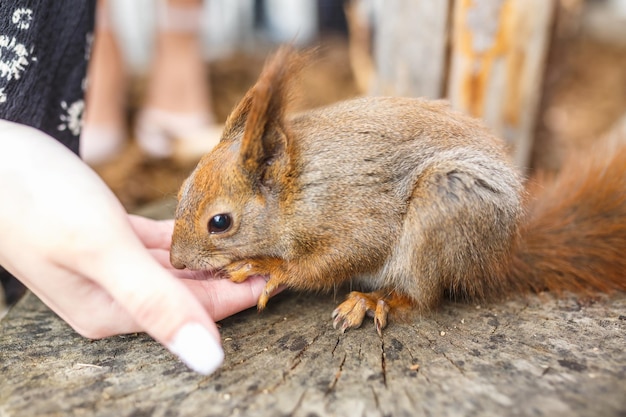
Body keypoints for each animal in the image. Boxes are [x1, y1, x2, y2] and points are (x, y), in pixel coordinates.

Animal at [168, 48, 624, 334]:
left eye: (220, 222)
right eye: (180, 192)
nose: (176, 262)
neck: (298, 187)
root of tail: (498, 259)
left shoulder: (352, 214)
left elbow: (339, 256)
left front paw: (271, 267)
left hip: (445, 206)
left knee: (424, 299)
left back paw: (376, 301)